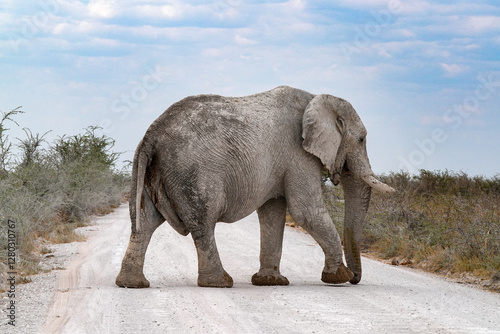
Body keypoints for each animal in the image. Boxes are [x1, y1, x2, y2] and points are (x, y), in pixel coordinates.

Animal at [116, 86, 394, 290]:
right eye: (362, 139)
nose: (356, 279)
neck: (317, 97)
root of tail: (152, 133)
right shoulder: (299, 154)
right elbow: (306, 211)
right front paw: (338, 278)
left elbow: (273, 213)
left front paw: (270, 282)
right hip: (192, 172)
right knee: (202, 222)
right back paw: (220, 283)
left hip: (150, 170)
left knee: (144, 222)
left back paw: (132, 284)